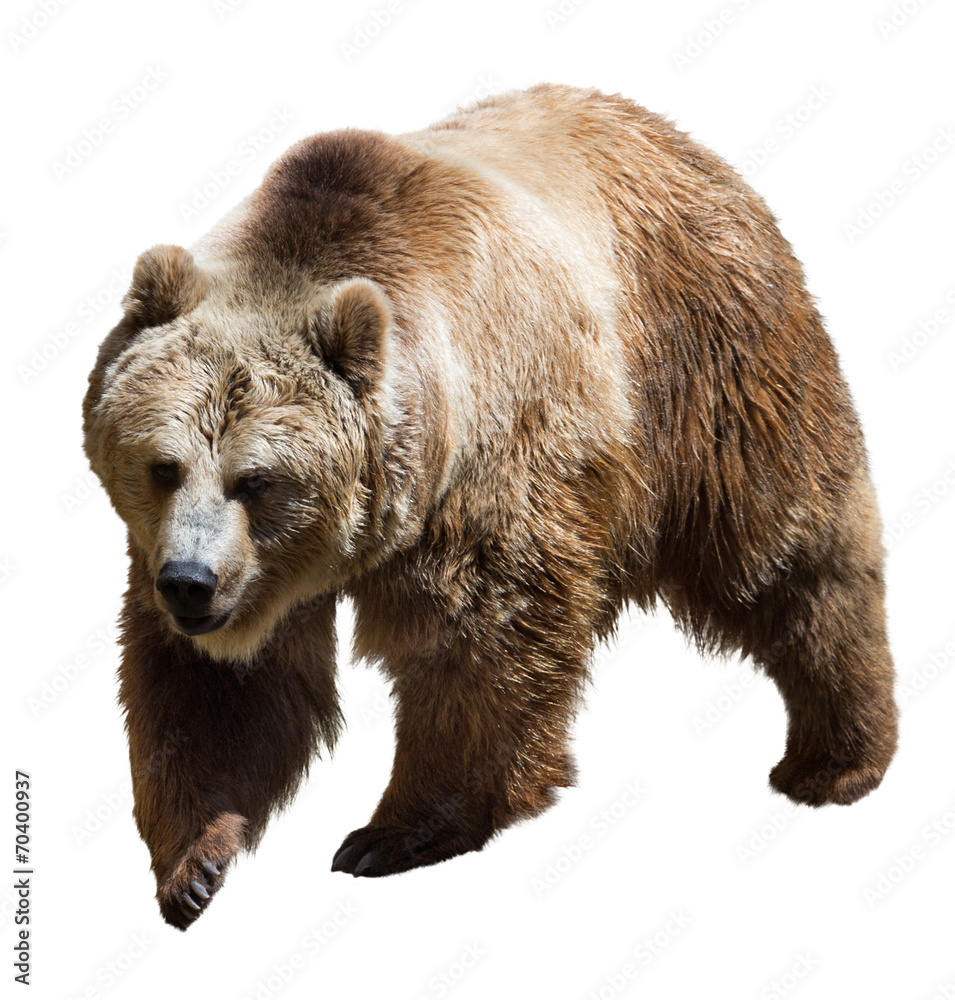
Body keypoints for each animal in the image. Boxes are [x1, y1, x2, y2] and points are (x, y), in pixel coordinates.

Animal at [83, 83, 898, 930]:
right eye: (163, 467)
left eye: (258, 480)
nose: (191, 583)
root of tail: (675, 137)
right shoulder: (217, 569)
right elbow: (216, 688)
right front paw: (192, 865)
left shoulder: (491, 455)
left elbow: (479, 640)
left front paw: (391, 833)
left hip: (712, 364)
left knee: (784, 549)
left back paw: (833, 757)